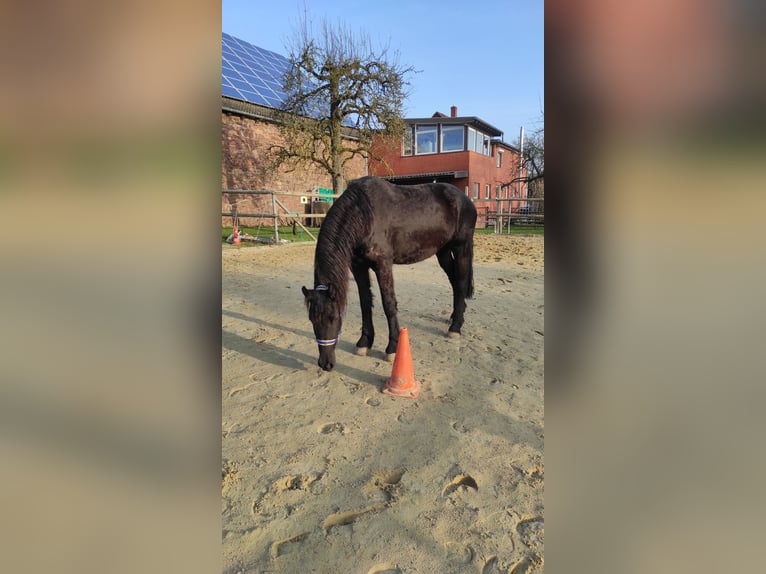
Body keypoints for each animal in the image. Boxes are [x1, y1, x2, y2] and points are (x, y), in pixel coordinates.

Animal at [302, 176, 477, 371]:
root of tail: (464, 198)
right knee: (454, 282)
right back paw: (454, 317)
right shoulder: (358, 266)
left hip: (461, 248)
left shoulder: (383, 264)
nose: (325, 363)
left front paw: (392, 348)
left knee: (461, 283)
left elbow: (389, 305)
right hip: (443, 252)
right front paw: (364, 343)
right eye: (311, 319)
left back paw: (455, 327)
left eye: (333, 317)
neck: (364, 213)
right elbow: (365, 303)